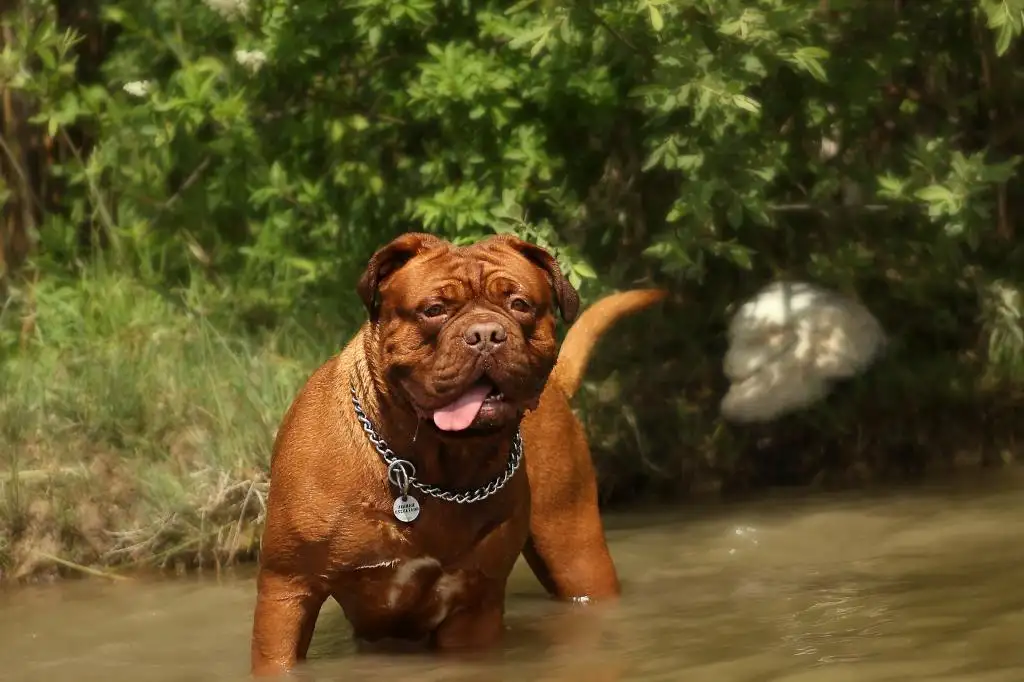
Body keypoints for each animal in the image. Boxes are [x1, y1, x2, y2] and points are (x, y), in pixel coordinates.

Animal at [247, 231, 663, 671]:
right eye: (434, 310)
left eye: (520, 304)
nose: (485, 334)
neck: (428, 462)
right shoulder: (286, 591)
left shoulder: (472, 605)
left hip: (576, 551)